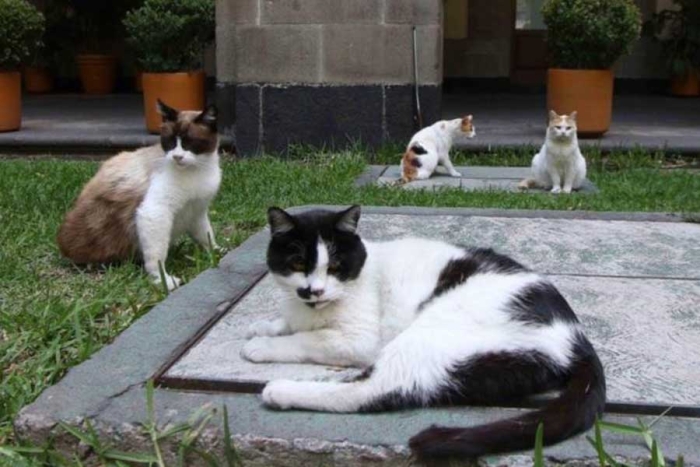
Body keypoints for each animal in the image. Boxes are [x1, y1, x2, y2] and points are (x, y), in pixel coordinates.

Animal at [57, 99, 221, 288]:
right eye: (170, 142)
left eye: (190, 142)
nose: (177, 157)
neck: (197, 169)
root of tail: (63, 249)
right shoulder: (154, 212)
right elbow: (157, 257)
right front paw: (162, 280)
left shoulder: (196, 212)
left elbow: (207, 236)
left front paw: (217, 252)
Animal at [243, 207, 604, 458]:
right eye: (296, 263)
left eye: (334, 267)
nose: (314, 291)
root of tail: (578, 339)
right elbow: (289, 324)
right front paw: (263, 327)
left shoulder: (358, 340)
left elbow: (307, 339)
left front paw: (261, 346)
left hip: (427, 335)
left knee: (370, 391)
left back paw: (281, 391)